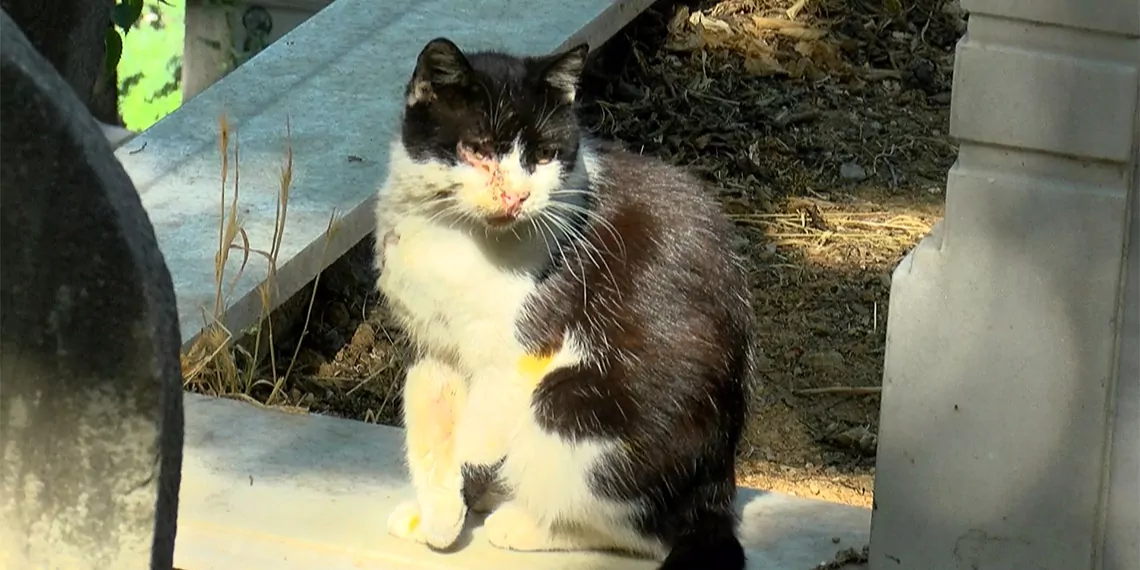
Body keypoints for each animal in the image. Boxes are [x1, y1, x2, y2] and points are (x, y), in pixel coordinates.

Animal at [369, 36, 756, 570]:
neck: (450, 235)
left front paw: (467, 488)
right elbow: (431, 426)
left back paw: (522, 523)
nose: (516, 196)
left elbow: (476, 434)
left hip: (572, 406)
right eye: (477, 149)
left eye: (545, 155)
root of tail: (717, 493)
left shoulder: (524, 342)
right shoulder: (432, 346)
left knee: (643, 530)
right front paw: (438, 520)